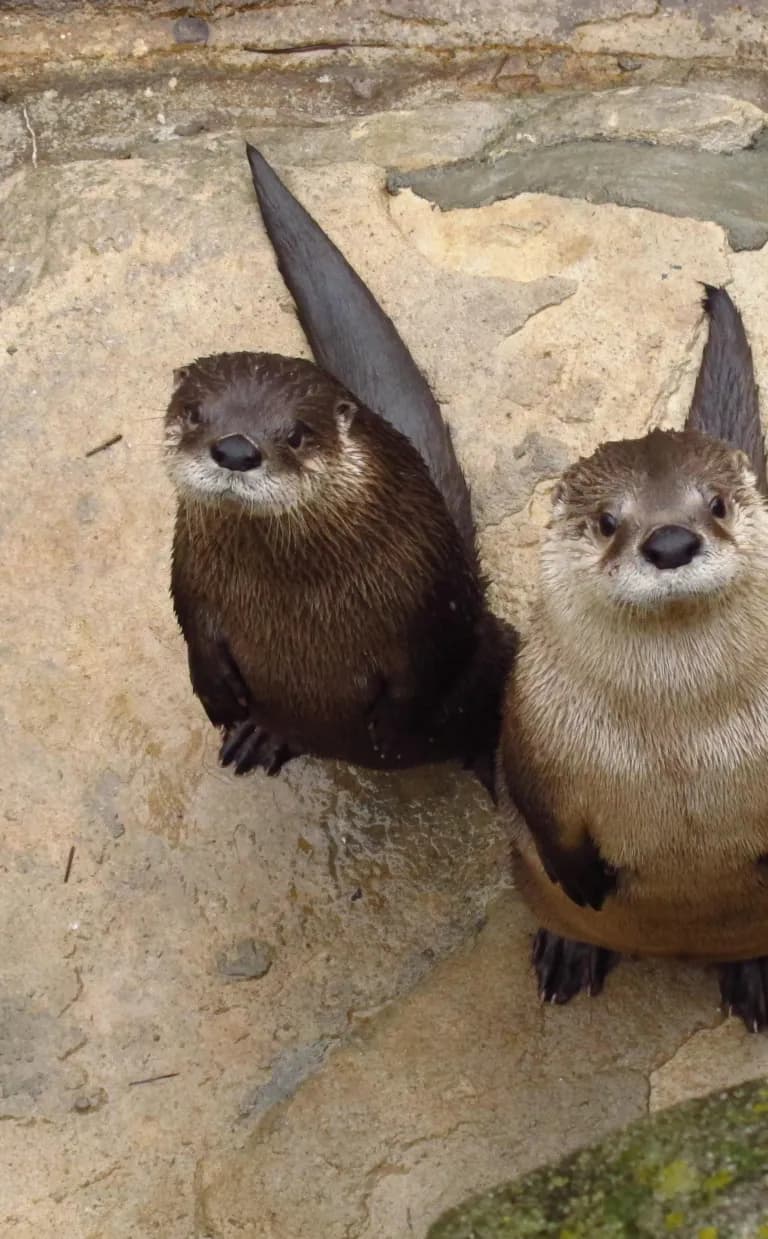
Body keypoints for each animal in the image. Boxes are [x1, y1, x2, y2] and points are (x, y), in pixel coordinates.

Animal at [166, 148, 513, 786]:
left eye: (296, 433)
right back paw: (261, 735)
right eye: (194, 412)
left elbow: (420, 669)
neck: (295, 597)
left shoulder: (425, 594)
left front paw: (389, 729)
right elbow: (193, 627)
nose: (235, 450)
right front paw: (220, 698)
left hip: (492, 645)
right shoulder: (187, 571)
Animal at [498, 286, 768, 1031]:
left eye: (717, 504)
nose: (671, 541)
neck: (680, 737)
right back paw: (568, 950)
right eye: (607, 521)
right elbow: (536, 802)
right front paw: (584, 882)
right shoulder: (532, 722)